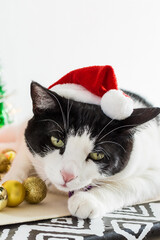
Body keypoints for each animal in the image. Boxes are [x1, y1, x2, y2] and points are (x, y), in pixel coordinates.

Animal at [0, 82, 160, 219]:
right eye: (57, 140)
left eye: (97, 154)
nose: (67, 175)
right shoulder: (27, 139)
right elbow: (23, 156)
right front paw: (11, 179)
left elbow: (128, 185)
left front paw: (87, 200)